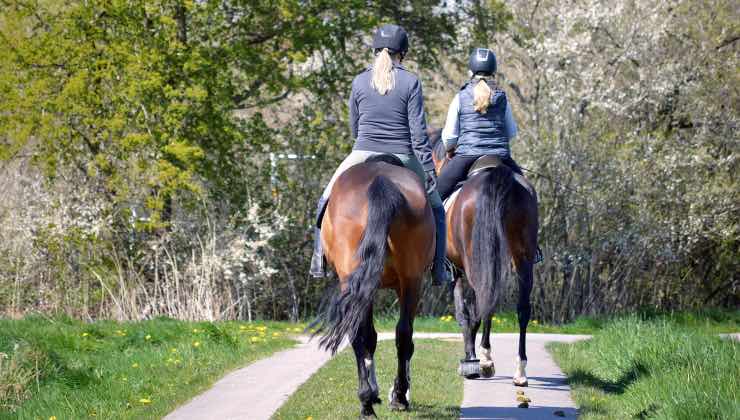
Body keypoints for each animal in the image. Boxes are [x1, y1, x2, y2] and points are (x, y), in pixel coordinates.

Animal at [310, 155, 436, 420]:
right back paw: (391, 398)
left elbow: (370, 337)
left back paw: (371, 401)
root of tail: (381, 182)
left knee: (367, 334)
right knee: (402, 333)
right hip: (410, 280)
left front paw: (376, 391)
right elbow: (382, 337)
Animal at [428, 129, 536, 388]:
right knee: (520, 307)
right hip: (523, 259)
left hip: (475, 263)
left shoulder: (457, 271)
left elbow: (463, 314)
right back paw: (520, 371)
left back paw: (481, 361)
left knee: (482, 302)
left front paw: (470, 358)